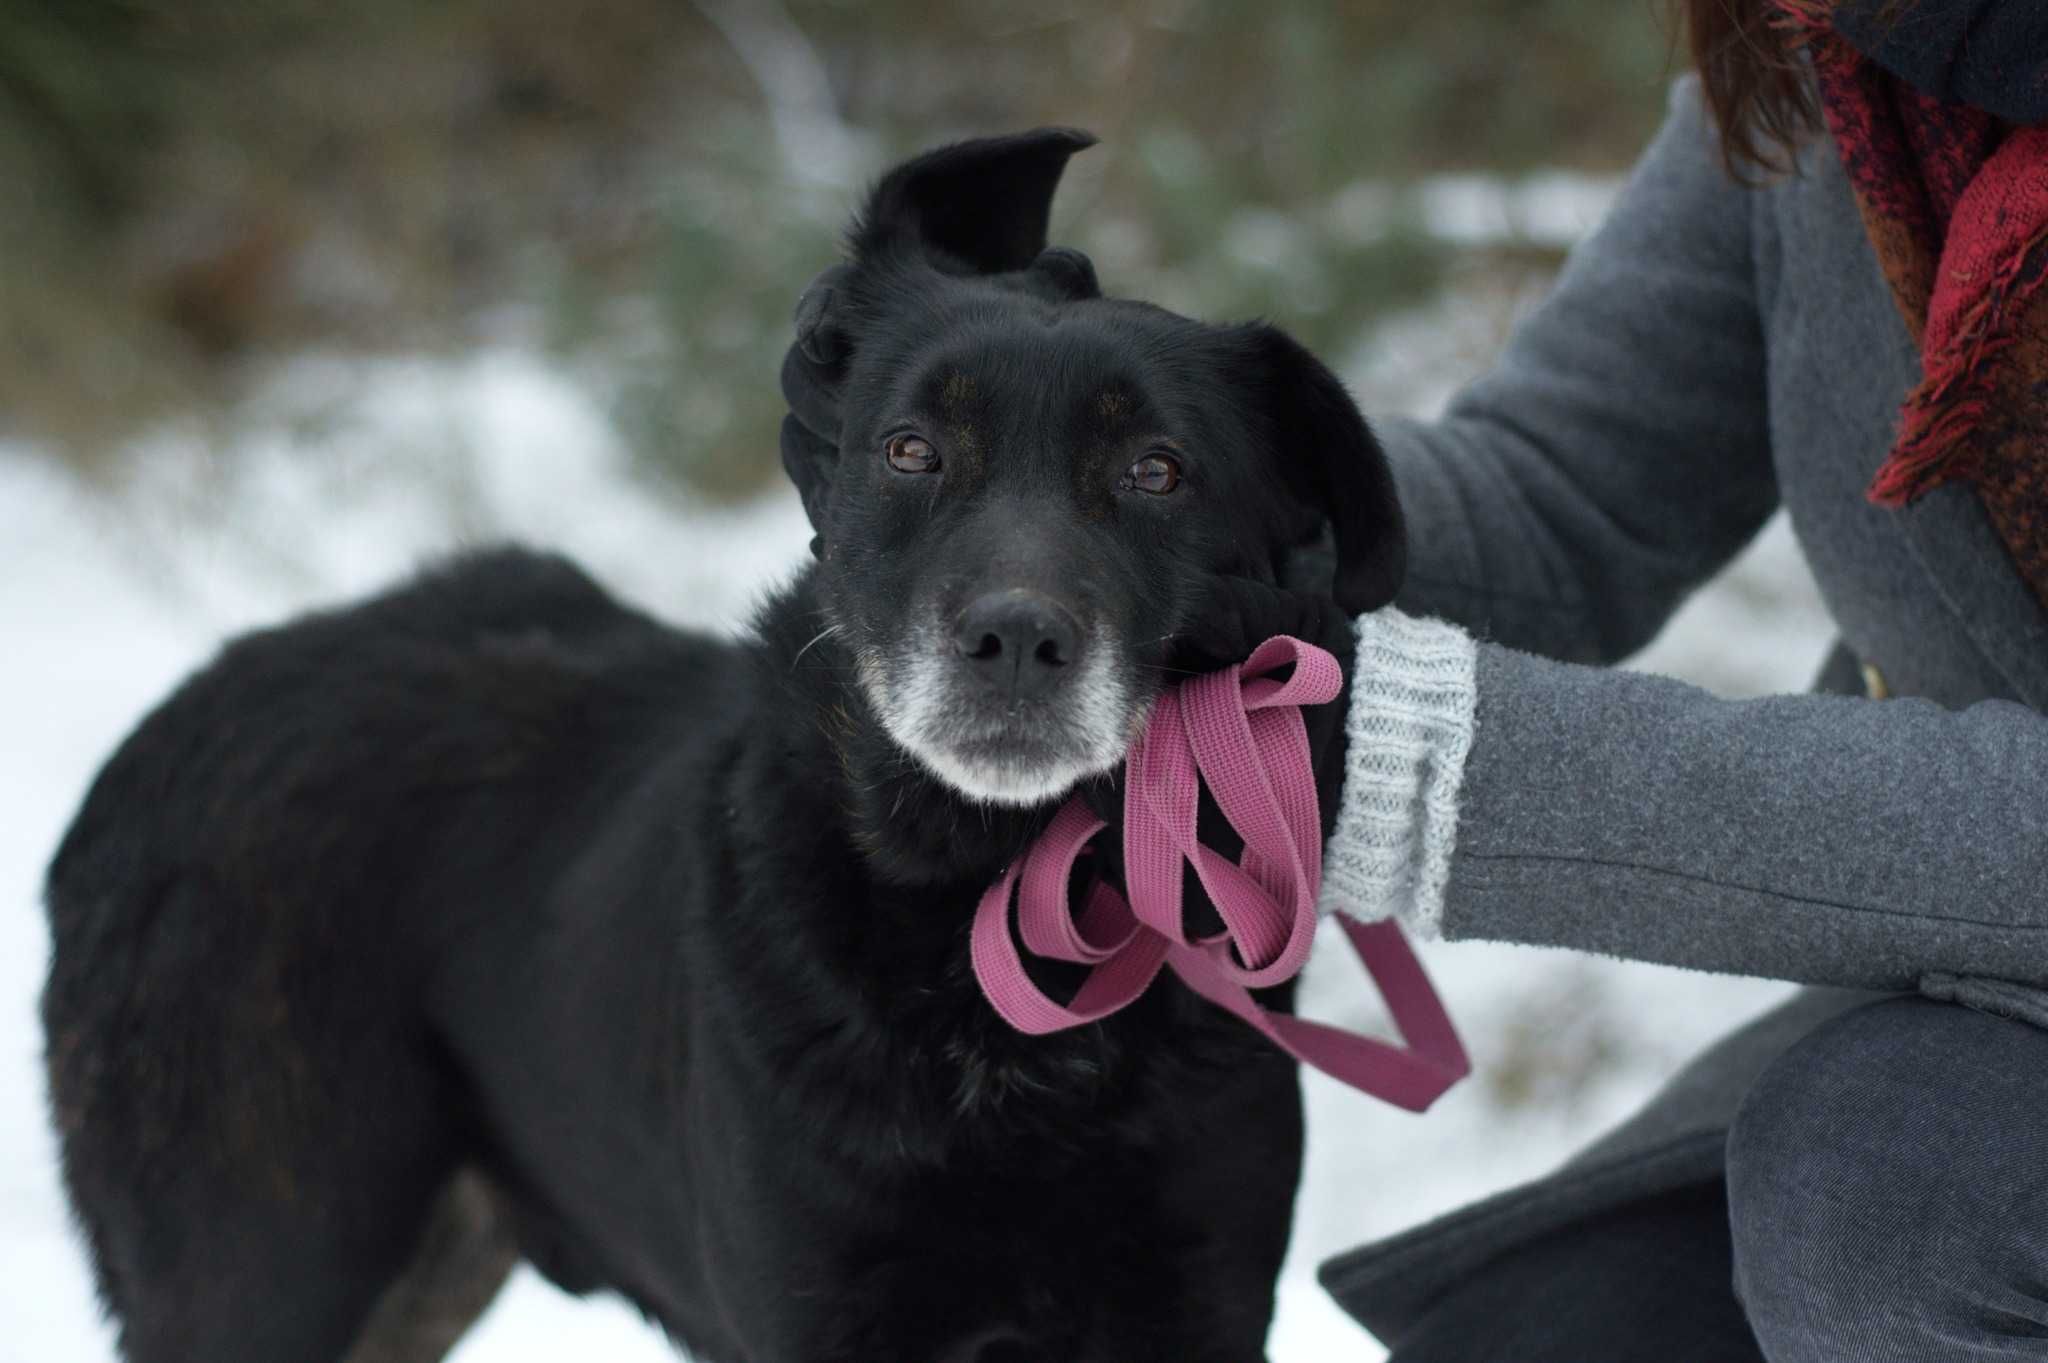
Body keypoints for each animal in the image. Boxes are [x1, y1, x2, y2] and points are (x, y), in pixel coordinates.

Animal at [39, 129, 1400, 1358]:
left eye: (1156, 470)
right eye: (911, 449)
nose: (1013, 639)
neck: (982, 927)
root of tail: (174, 722)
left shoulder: (1195, 1298)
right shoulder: (819, 1310)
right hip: (264, 1267)